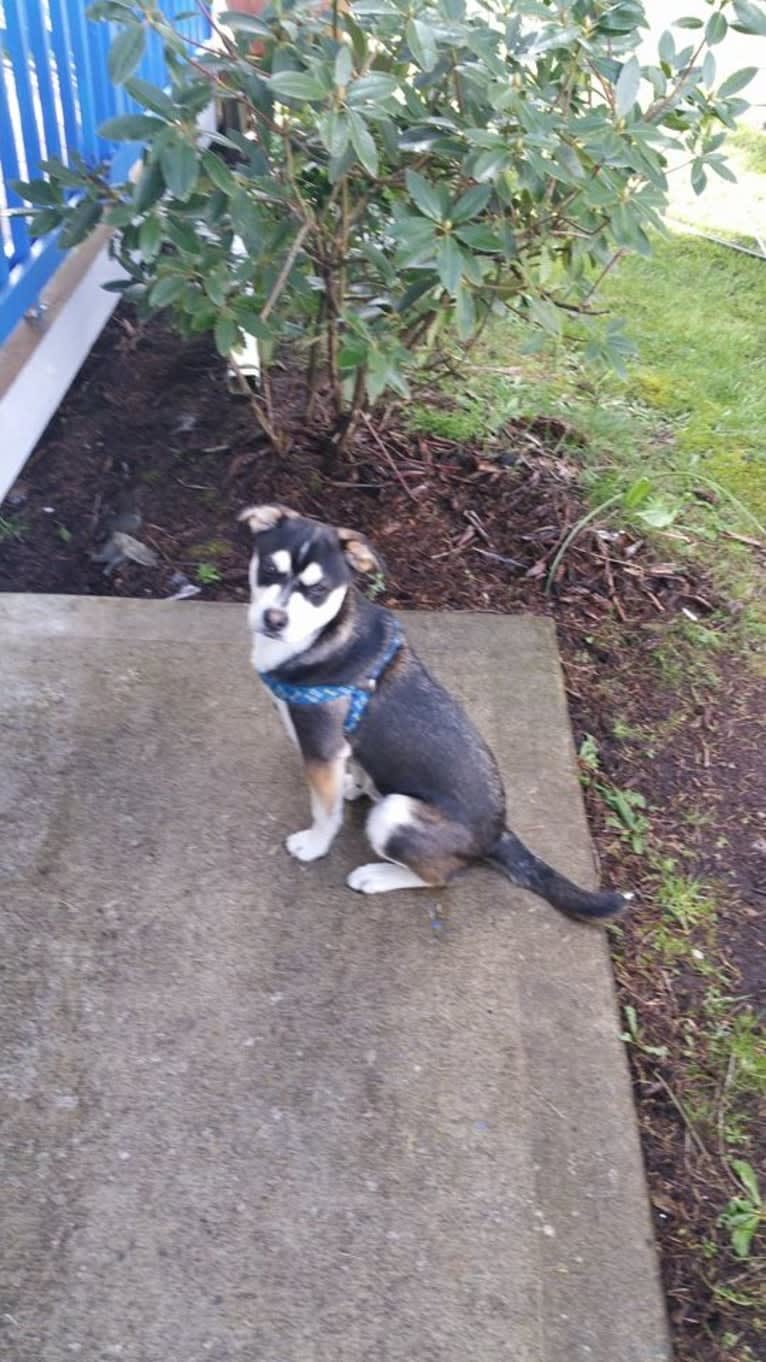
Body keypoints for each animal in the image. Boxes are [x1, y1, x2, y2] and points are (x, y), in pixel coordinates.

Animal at [241, 506, 629, 920]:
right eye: (269, 569)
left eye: (317, 590)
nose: (274, 619)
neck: (323, 635)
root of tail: (496, 836)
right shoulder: (344, 748)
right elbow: (357, 770)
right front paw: (354, 786)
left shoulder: (322, 749)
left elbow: (325, 813)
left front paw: (314, 846)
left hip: (395, 815)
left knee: (440, 878)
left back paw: (375, 876)